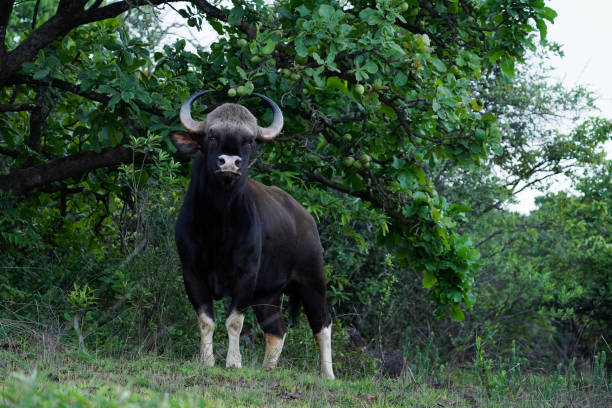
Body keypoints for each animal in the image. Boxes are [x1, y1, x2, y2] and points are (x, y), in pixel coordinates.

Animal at [169, 90, 334, 380]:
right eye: (211, 135)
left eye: (248, 141)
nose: (229, 163)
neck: (218, 225)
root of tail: (306, 218)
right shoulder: (191, 272)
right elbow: (206, 321)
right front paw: (206, 361)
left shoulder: (245, 275)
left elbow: (234, 321)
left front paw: (233, 362)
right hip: (268, 295)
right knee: (277, 330)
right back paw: (268, 370)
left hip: (312, 280)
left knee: (322, 323)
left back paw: (328, 375)